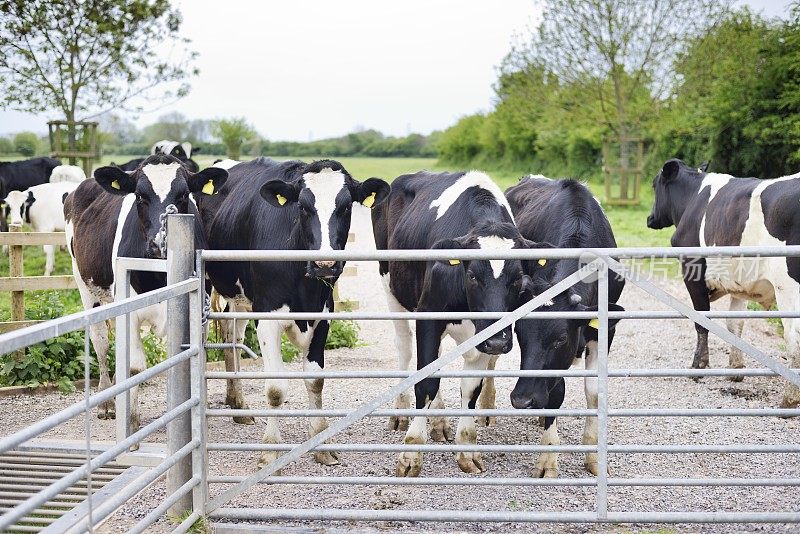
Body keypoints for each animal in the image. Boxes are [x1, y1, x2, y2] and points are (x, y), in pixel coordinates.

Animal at [63, 153, 227, 430]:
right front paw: (132, 422)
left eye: (184, 195)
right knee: (101, 341)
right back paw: (107, 401)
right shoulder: (128, 308)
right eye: (140, 196)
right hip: (85, 287)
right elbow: (135, 368)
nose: (160, 243)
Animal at [198, 158, 390, 468]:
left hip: (239, 298)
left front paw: (320, 443)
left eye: (345, 207)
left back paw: (238, 405)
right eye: (303, 207)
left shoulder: (323, 315)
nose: (325, 264)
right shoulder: (267, 316)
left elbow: (315, 381)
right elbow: (276, 389)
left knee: (232, 338)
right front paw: (269, 451)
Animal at [370, 171, 536, 478]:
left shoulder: (485, 335)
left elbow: (470, 387)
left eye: (518, 278)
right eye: (472, 275)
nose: (500, 342)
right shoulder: (429, 316)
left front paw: (467, 450)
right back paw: (401, 413)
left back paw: (439, 423)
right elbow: (425, 383)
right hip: (392, 290)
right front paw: (411, 453)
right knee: (404, 349)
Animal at [506, 178, 624, 480]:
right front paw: (548, 459)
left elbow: (594, 391)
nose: (522, 400)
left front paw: (594, 456)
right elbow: (556, 390)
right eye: (520, 335)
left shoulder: (603, 331)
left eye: (560, 339)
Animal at [648, 159, 800, 410]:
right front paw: (735, 368)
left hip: (788, 288)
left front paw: (698, 366)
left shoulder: (693, 270)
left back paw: (789, 400)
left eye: (654, 184)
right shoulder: (739, 282)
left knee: (794, 337)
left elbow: (701, 320)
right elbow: (734, 324)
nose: (650, 218)